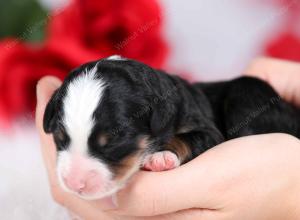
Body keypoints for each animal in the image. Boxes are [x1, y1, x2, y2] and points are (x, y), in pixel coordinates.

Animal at [43, 55, 300, 199]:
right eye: (59, 136)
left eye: (114, 140)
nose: (74, 184)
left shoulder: (208, 131)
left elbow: (187, 138)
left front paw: (161, 156)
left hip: (246, 93)